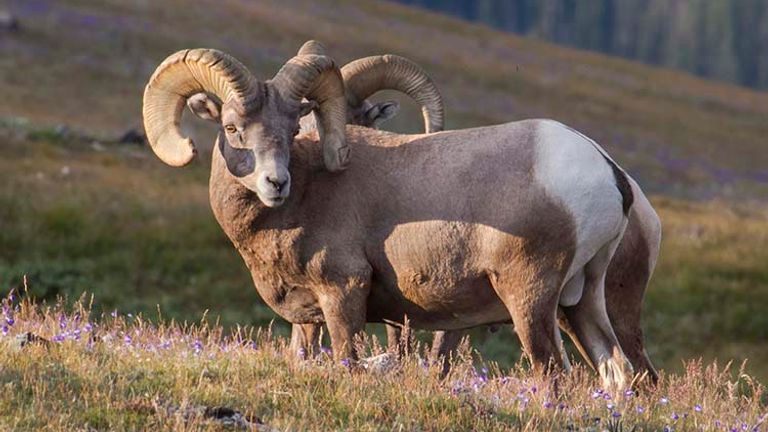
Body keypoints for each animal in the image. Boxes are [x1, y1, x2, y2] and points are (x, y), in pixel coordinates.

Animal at [142, 46, 636, 390]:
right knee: (616, 371)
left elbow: (348, 359)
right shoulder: (308, 317)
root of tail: (607, 171)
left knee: (552, 375)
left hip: (529, 299)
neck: (306, 193)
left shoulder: (343, 292)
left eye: (291, 128)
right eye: (232, 128)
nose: (275, 183)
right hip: (580, 302)